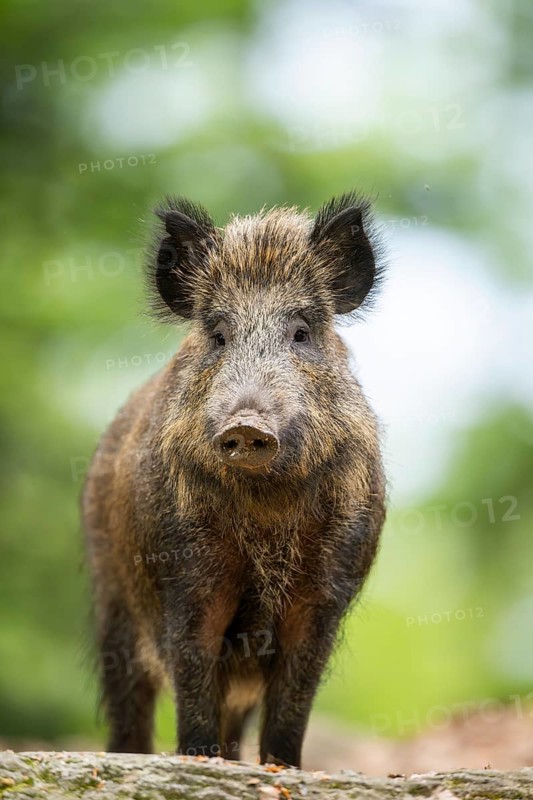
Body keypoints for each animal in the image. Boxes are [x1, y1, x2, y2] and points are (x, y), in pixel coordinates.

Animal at [82, 192, 386, 768]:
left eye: (301, 332)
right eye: (220, 335)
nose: (247, 423)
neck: (266, 512)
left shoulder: (326, 590)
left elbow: (293, 704)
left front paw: (281, 768)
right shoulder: (185, 575)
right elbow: (192, 680)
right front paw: (198, 760)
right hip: (111, 596)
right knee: (130, 707)